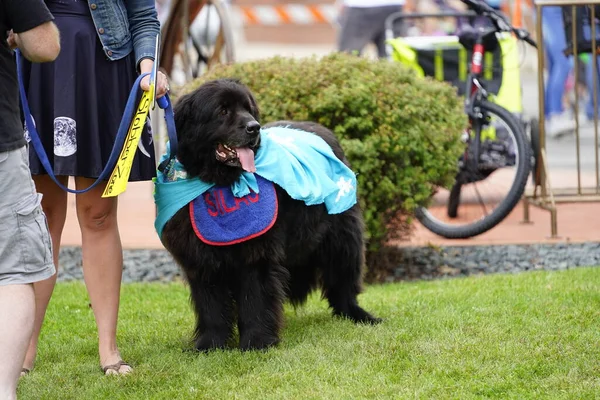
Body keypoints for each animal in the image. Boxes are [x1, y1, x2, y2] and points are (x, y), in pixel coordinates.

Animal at [161, 77, 380, 350]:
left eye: (248, 109)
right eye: (222, 111)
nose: (254, 128)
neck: (218, 183)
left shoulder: (258, 253)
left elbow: (255, 297)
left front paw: (257, 342)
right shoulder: (200, 258)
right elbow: (211, 306)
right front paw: (210, 344)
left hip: (343, 234)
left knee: (344, 279)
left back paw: (358, 315)